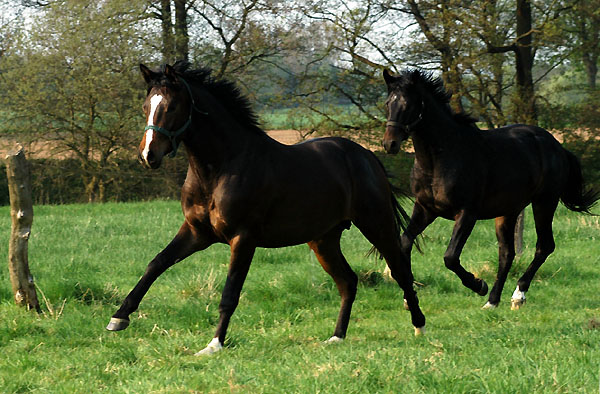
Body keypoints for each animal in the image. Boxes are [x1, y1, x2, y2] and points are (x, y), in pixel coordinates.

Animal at [108, 62, 426, 358]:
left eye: (172, 106)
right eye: (146, 106)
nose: (148, 155)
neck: (220, 167)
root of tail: (367, 156)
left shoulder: (243, 238)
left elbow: (230, 293)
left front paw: (214, 344)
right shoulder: (197, 233)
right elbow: (156, 263)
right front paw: (118, 318)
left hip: (376, 224)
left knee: (399, 270)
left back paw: (419, 326)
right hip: (323, 240)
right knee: (348, 281)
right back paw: (337, 337)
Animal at [382, 69, 596, 310]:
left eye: (408, 104)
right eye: (388, 103)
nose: (389, 144)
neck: (440, 159)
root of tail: (557, 146)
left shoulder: (467, 213)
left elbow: (450, 257)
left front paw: (478, 285)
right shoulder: (425, 209)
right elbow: (404, 243)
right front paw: (409, 298)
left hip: (545, 202)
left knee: (544, 246)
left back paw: (517, 294)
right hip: (508, 211)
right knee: (507, 254)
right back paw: (492, 301)